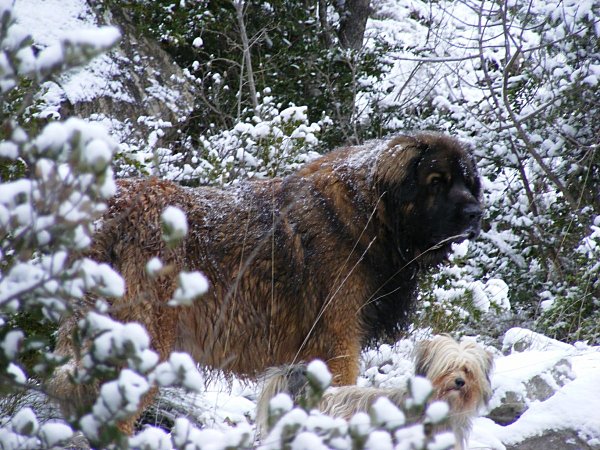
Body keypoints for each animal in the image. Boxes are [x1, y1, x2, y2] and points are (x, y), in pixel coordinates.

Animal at [51, 133, 482, 428]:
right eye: (437, 181)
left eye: (467, 181)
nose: (476, 213)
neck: (372, 215)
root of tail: (113, 208)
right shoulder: (339, 342)